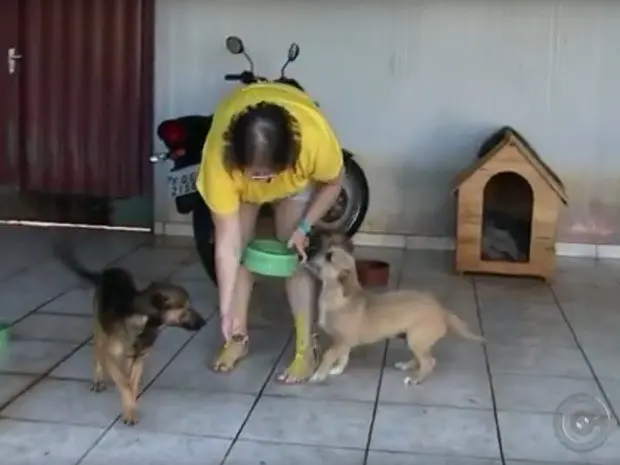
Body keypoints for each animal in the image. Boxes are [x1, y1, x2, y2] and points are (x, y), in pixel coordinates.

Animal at [56, 245, 206, 422]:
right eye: (185, 308)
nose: (204, 323)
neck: (145, 322)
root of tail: (107, 272)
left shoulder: (140, 357)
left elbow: (131, 384)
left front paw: (131, 404)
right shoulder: (111, 357)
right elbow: (124, 385)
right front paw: (130, 411)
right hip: (100, 330)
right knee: (98, 353)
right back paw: (98, 379)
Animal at [308, 241, 486, 386]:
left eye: (329, 257)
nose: (312, 248)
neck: (338, 293)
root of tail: (442, 310)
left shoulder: (341, 340)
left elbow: (328, 355)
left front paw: (319, 374)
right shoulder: (345, 342)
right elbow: (343, 357)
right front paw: (337, 369)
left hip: (416, 338)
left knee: (429, 362)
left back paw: (415, 379)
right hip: (412, 339)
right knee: (421, 359)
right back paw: (406, 365)